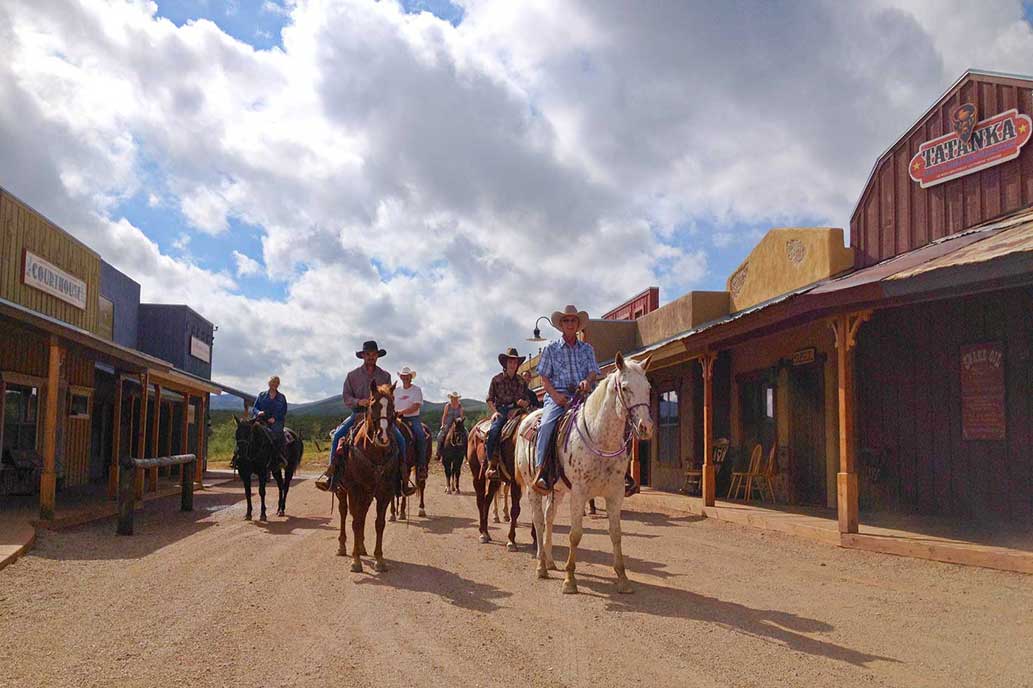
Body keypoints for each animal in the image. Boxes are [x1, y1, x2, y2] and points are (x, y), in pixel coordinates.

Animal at [338, 378, 402, 570]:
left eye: (393, 406)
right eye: (372, 405)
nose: (383, 437)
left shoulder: (385, 492)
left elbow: (379, 523)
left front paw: (379, 559)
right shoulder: (354, 490)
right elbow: (356, 522)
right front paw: (355, 560)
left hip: (367, 494)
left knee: (362, 514)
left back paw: (362, 547)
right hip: (342, 491)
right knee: (345, 513)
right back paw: (343, 547)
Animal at [468, 409, 524, 549]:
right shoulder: (515, 482)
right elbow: (515, 510)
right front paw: (511, 541)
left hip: (495, 480)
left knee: (487, 500)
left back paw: (486, 532)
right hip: (477, 475)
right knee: (480, 500)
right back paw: (482, 533)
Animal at [516, 351, 652, 590]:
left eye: (648, 387)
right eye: (625, 388)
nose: (646, 427)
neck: (600, 440)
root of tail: (527, 420)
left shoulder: (615, 493)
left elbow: (616, 534)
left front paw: (622, 578)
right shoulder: (579, 493)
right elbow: (575, 535)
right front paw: (570, 579)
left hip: (558, 490)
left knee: (549, 518)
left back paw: (550, 562)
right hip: (533, 488)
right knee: (538, 522)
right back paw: (541, 566)